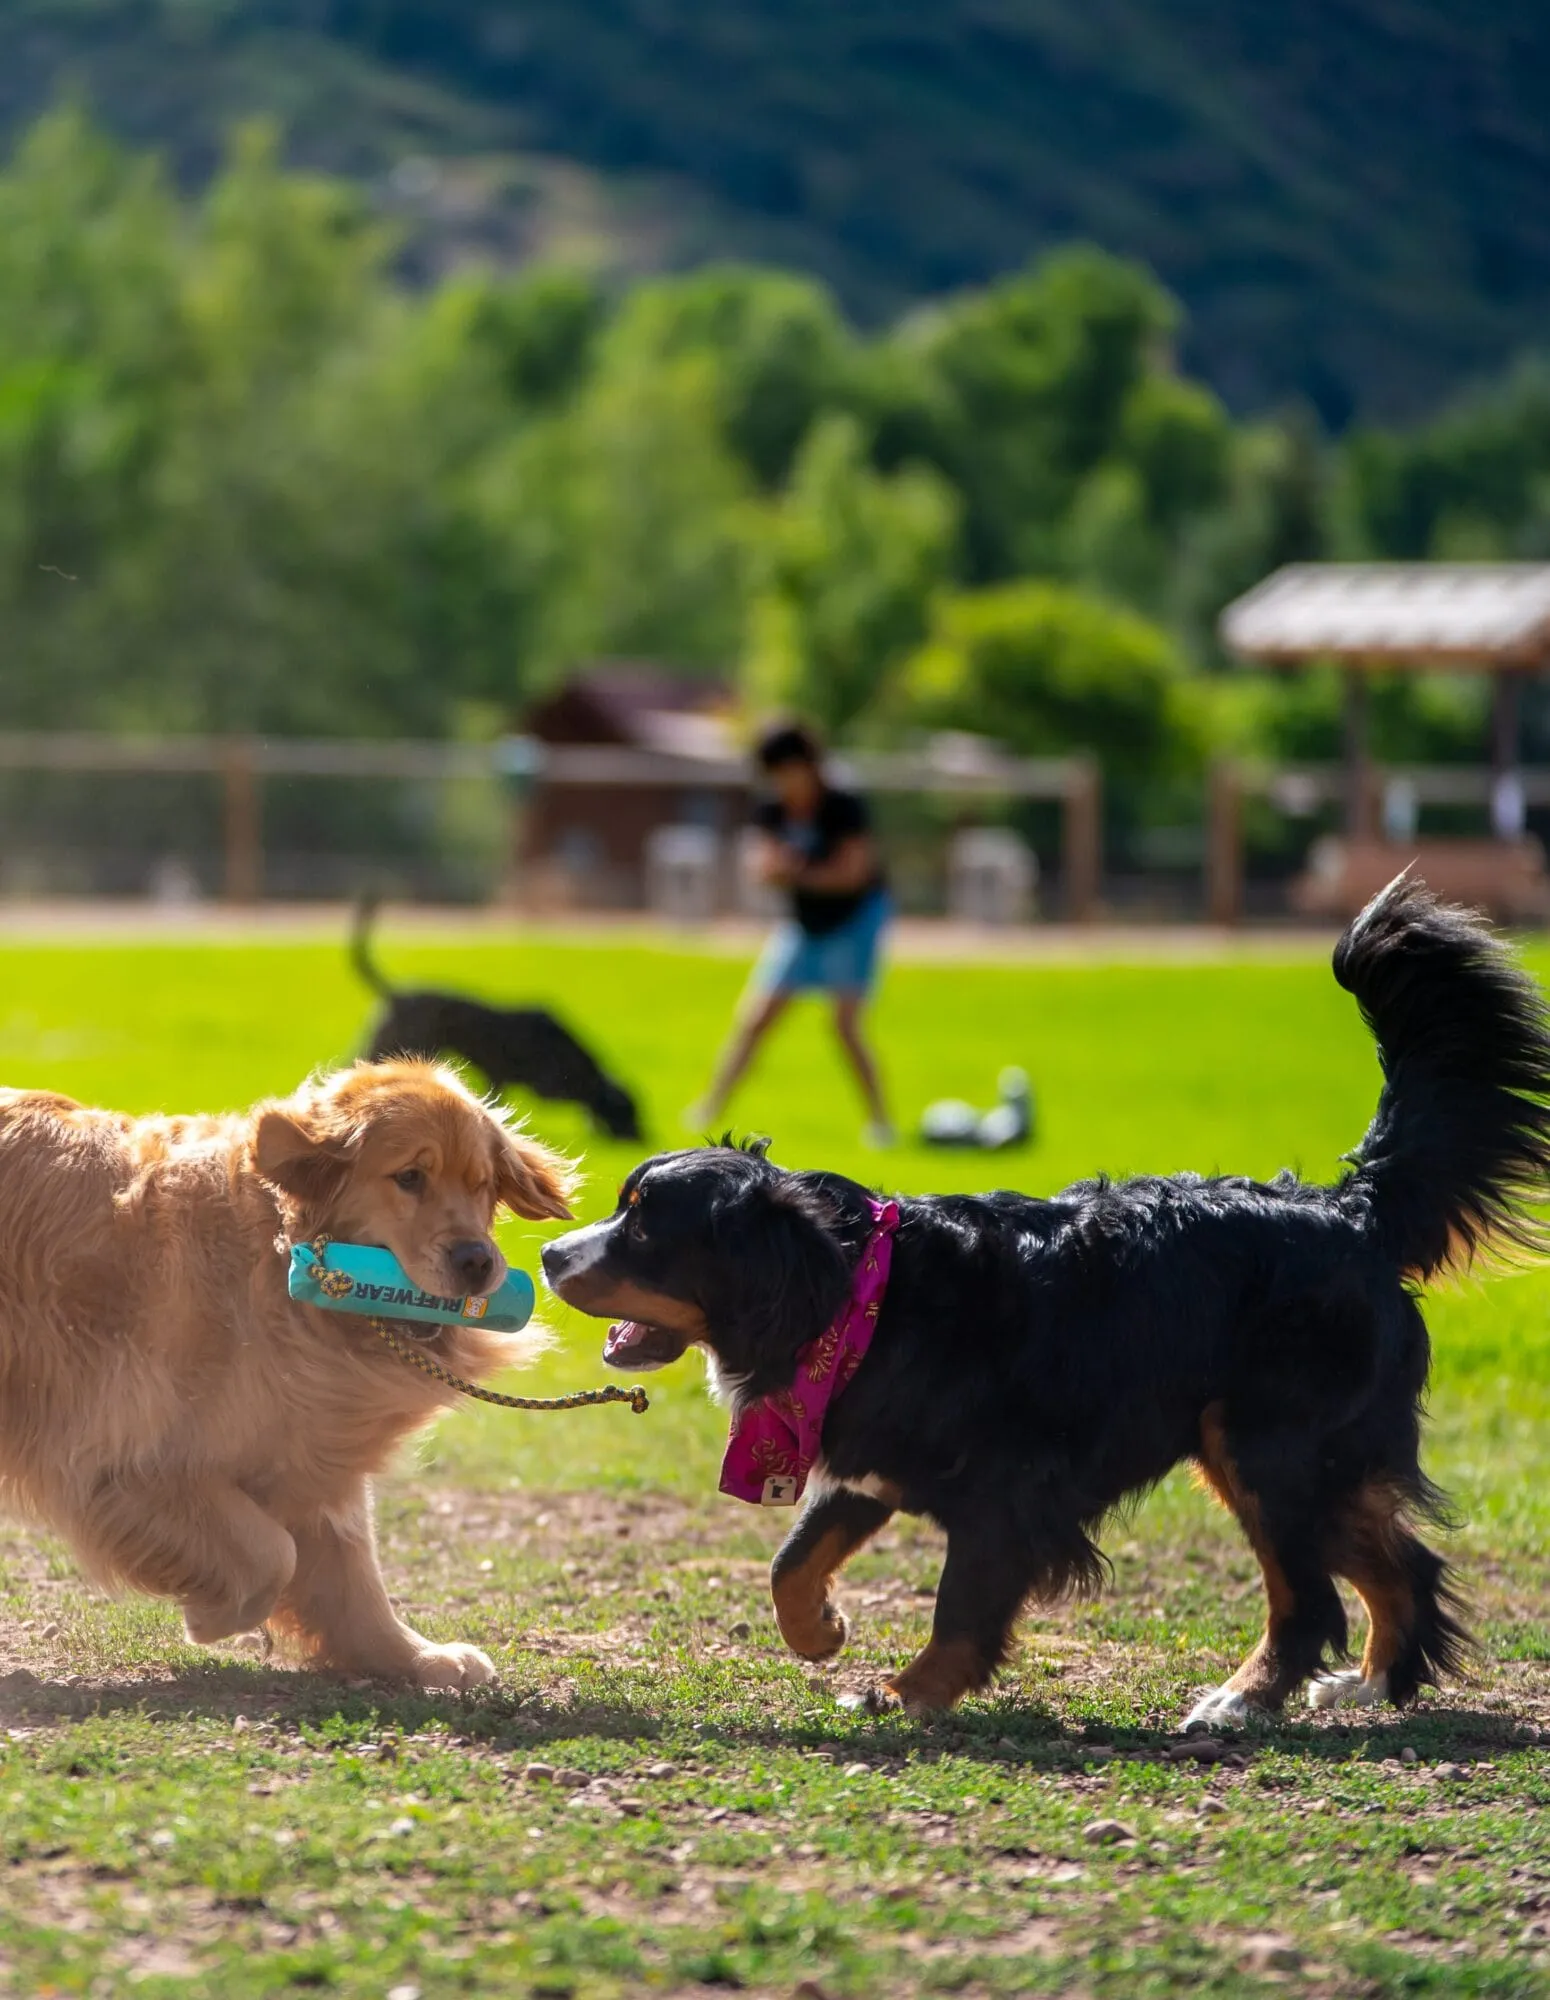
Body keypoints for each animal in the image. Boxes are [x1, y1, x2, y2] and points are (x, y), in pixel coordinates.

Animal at [544, 884, 1550, 1728]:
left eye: (643, 1225)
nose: (552, 1253)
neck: (859, 1293)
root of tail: (1349, 1211)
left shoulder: (1007, 1491)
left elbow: (960, 1608)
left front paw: (906, 1693)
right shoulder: (868, 1461)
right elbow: (792, 1561)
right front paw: (821, 1632)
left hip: (1270, 1448)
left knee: (1309, 1598)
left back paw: (1242, 1702)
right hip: (1278, 1452)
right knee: (1399, 1562)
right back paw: (1371, 1681)